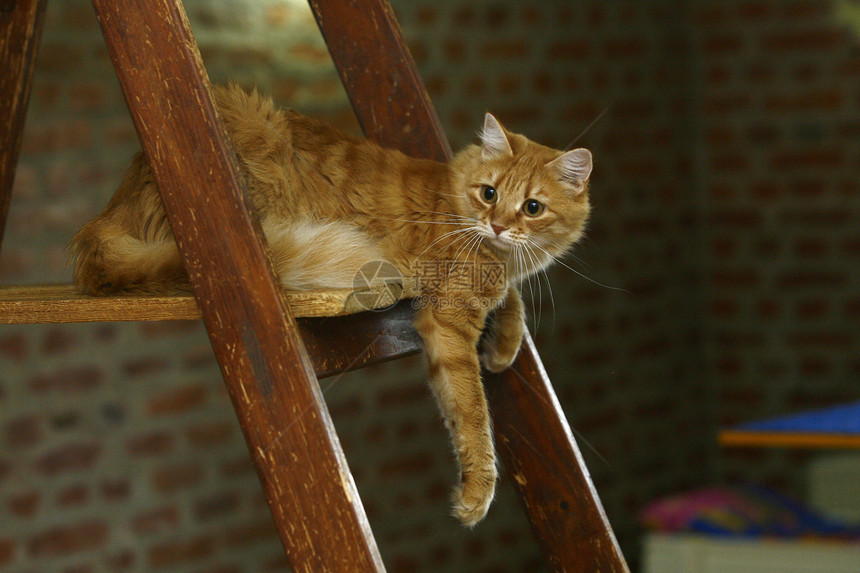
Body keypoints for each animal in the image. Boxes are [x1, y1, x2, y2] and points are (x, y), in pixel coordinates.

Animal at [70, 81, 592, 528]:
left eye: (532, 208)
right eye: (489, 194)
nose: (499, 226)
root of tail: (110, 213)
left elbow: (511, 301)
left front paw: (504, 347)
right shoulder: (447, 322)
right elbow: (471, 412)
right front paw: (477, 493)